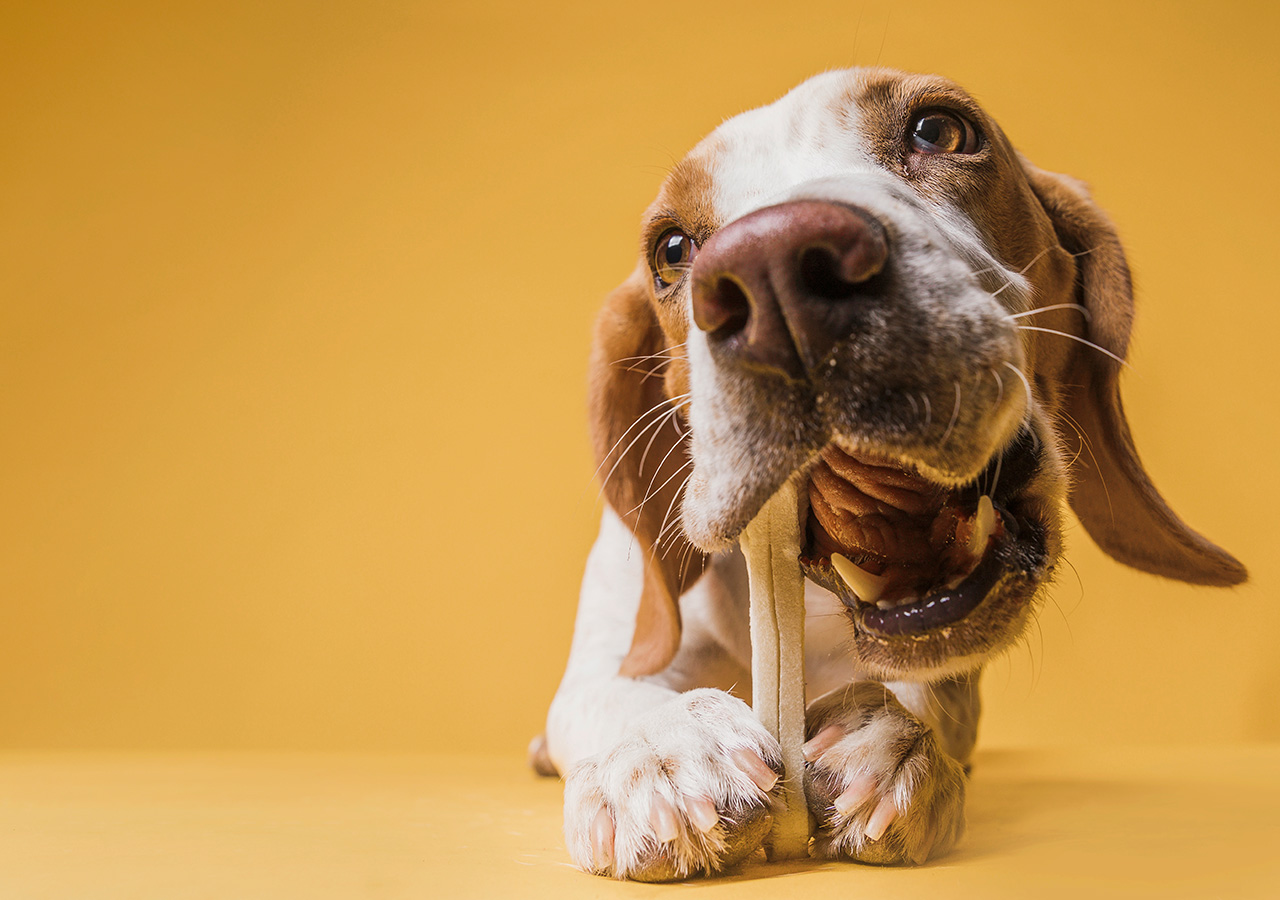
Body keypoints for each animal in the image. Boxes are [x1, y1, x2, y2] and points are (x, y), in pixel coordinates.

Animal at [527, 68, 1239, 880]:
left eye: (939, 130)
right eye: (672, 248)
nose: (774, 267)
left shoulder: (954, 677)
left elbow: (932, 697)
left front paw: (890, 738)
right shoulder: (606, 656)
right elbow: (612, 695)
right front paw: (661, 752)